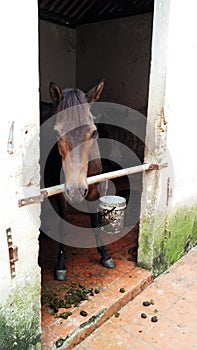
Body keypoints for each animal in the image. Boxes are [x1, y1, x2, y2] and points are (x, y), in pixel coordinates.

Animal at [39, 80, 115, 280]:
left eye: (94, 132)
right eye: (56, 133)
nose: (75, 191)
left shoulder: (93, 188)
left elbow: (95, 220)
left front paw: (104, 254)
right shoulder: (60, 193)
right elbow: (63, 225)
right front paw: (60, 264)